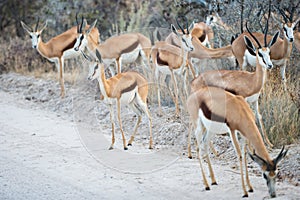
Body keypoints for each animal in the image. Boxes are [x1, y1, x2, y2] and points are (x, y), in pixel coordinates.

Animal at [189, 22, 280, 156]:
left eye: (268, 52)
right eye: (259, 54)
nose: (270, 65)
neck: (251, 80)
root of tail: (194, 80)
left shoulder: (255, 100)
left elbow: (259, 117)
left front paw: (270, 144)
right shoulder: (243, 100)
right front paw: (251, 149)